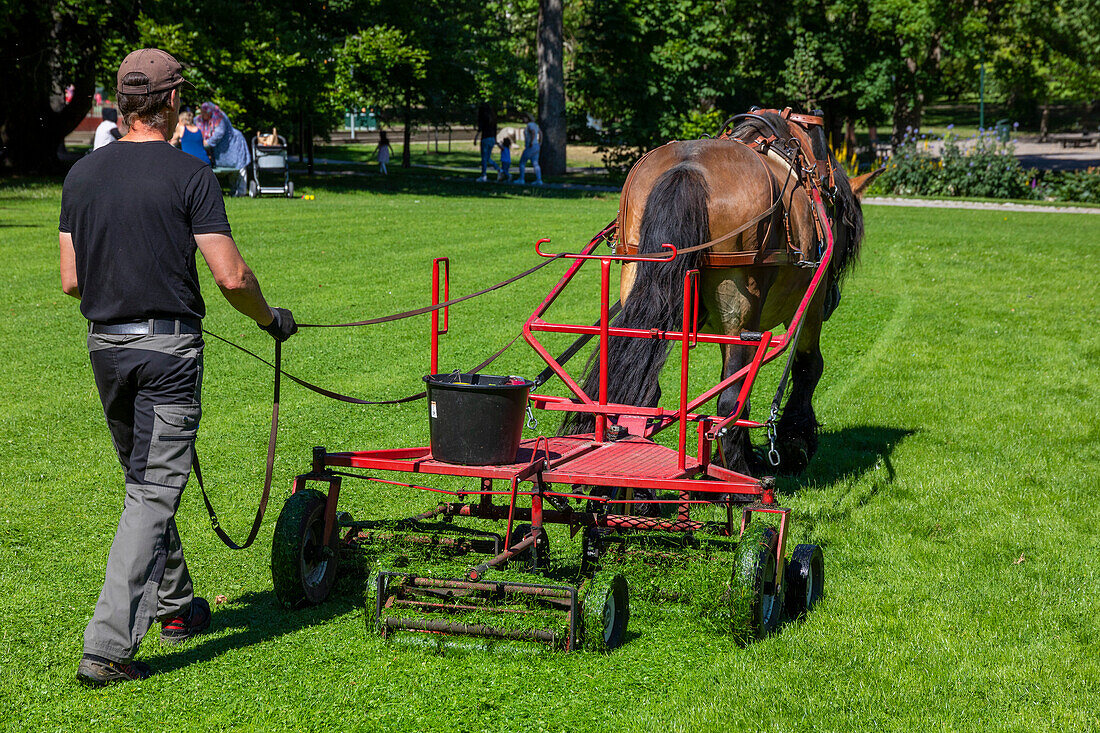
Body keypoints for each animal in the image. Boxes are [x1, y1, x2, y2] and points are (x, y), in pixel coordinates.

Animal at [563, 108, 880, 473]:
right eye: (847, 229)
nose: (834, 300)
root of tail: (688, 168)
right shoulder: (806, 304)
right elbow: (807, 365)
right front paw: (795, 441)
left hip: (639, 276)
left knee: (646, 388)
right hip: (741, 296)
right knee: (731, 399)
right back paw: (739, 472)